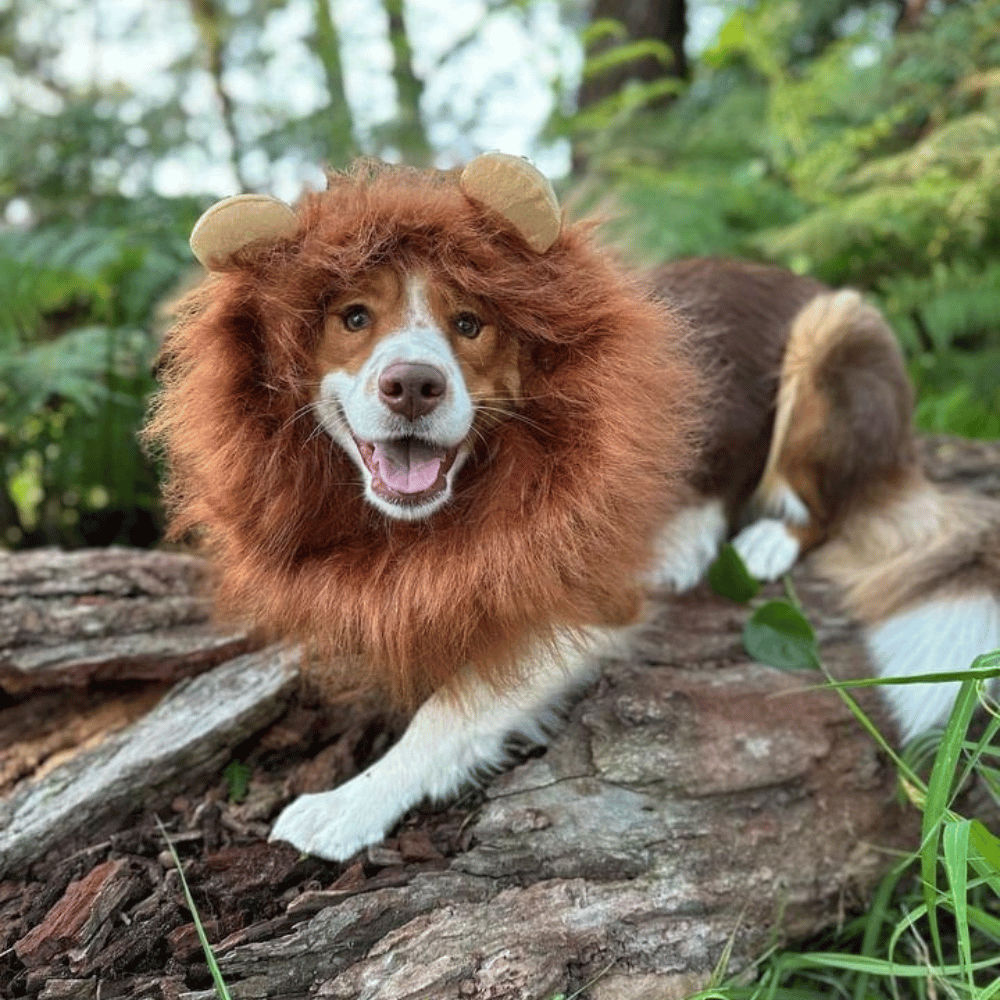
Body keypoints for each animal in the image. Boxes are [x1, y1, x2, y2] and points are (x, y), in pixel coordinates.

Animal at [148, 154, 1000, 860]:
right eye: (353, 317)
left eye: (471, 323)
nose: (413, 386)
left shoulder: (579, 597)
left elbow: (449, 713)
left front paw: (347, 805)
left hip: (837, 331)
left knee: (817, 500)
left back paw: (750, 539)